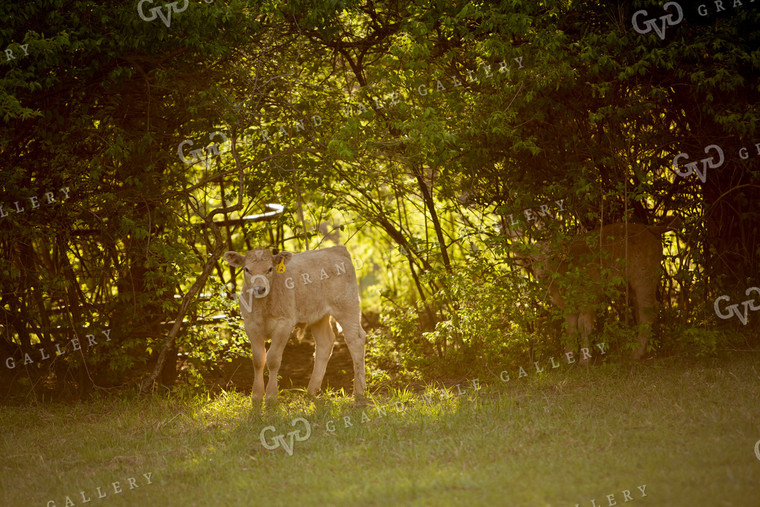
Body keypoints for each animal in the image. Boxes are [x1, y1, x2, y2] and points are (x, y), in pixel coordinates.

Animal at [223, 246, 368, 404]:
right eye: (247, 269)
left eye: (270, 269)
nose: (259, 289)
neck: (262, 309)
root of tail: (336, 249)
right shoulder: (250, 326)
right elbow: (258, 360)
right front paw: (256, 396)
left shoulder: (283, 325)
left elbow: (273, 359)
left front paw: (271, 396)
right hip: (318, 315)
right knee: (325, 343)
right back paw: (311, 391)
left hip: (347, 306)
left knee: (356, 340)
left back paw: (359, 392)